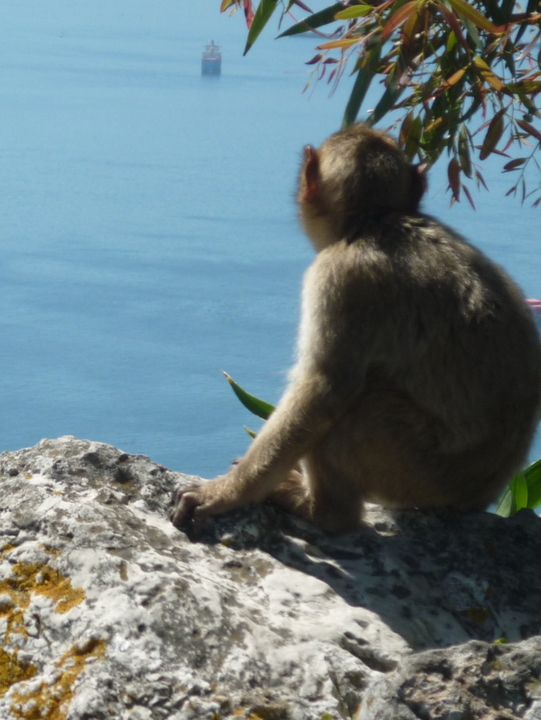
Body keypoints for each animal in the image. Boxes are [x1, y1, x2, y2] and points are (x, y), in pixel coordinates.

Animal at [171, 125, 540, 536]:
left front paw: (226, 494)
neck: (375, 221)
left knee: (355, 407)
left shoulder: (337, 276)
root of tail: (484, 494)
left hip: (417, 470)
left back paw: (325, 512)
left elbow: (325, 390)